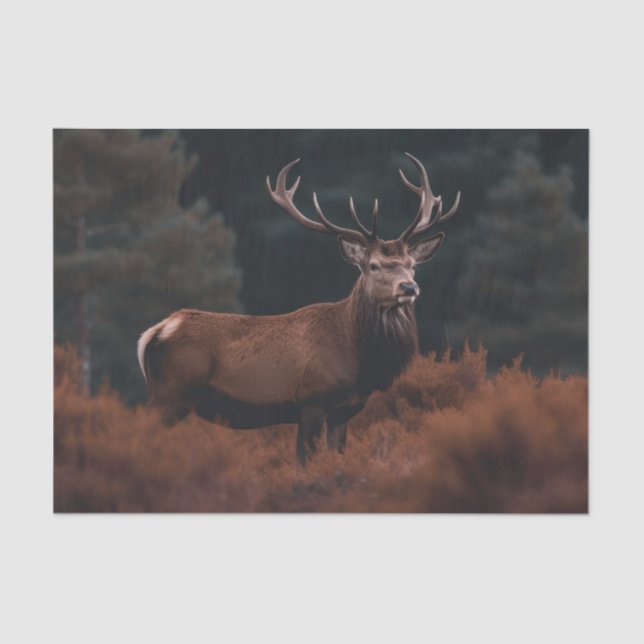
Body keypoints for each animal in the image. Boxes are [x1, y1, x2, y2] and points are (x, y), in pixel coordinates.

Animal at [137, 153, 461, 465]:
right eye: (373, 265)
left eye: (412, 265)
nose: (409, 287)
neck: (357, 355)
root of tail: (156, 331)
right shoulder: (312, 401)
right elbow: (304, 464)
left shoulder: (343, 412)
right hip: (169, 395)